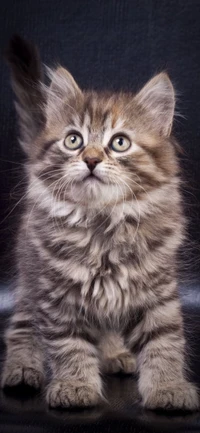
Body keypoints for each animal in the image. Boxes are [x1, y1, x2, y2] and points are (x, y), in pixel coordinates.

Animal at [1, 34, 198, 408]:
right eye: (73, 140)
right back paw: (21, 368)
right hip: (30, 277)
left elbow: (164, 341)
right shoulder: (57, 294)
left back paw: (115, 354)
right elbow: (70, 344)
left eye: (119, 143)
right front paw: (75, 386)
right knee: (21, 324)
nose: (91, 159)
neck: (102, 223)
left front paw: (168, 388)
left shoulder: (157, 291)